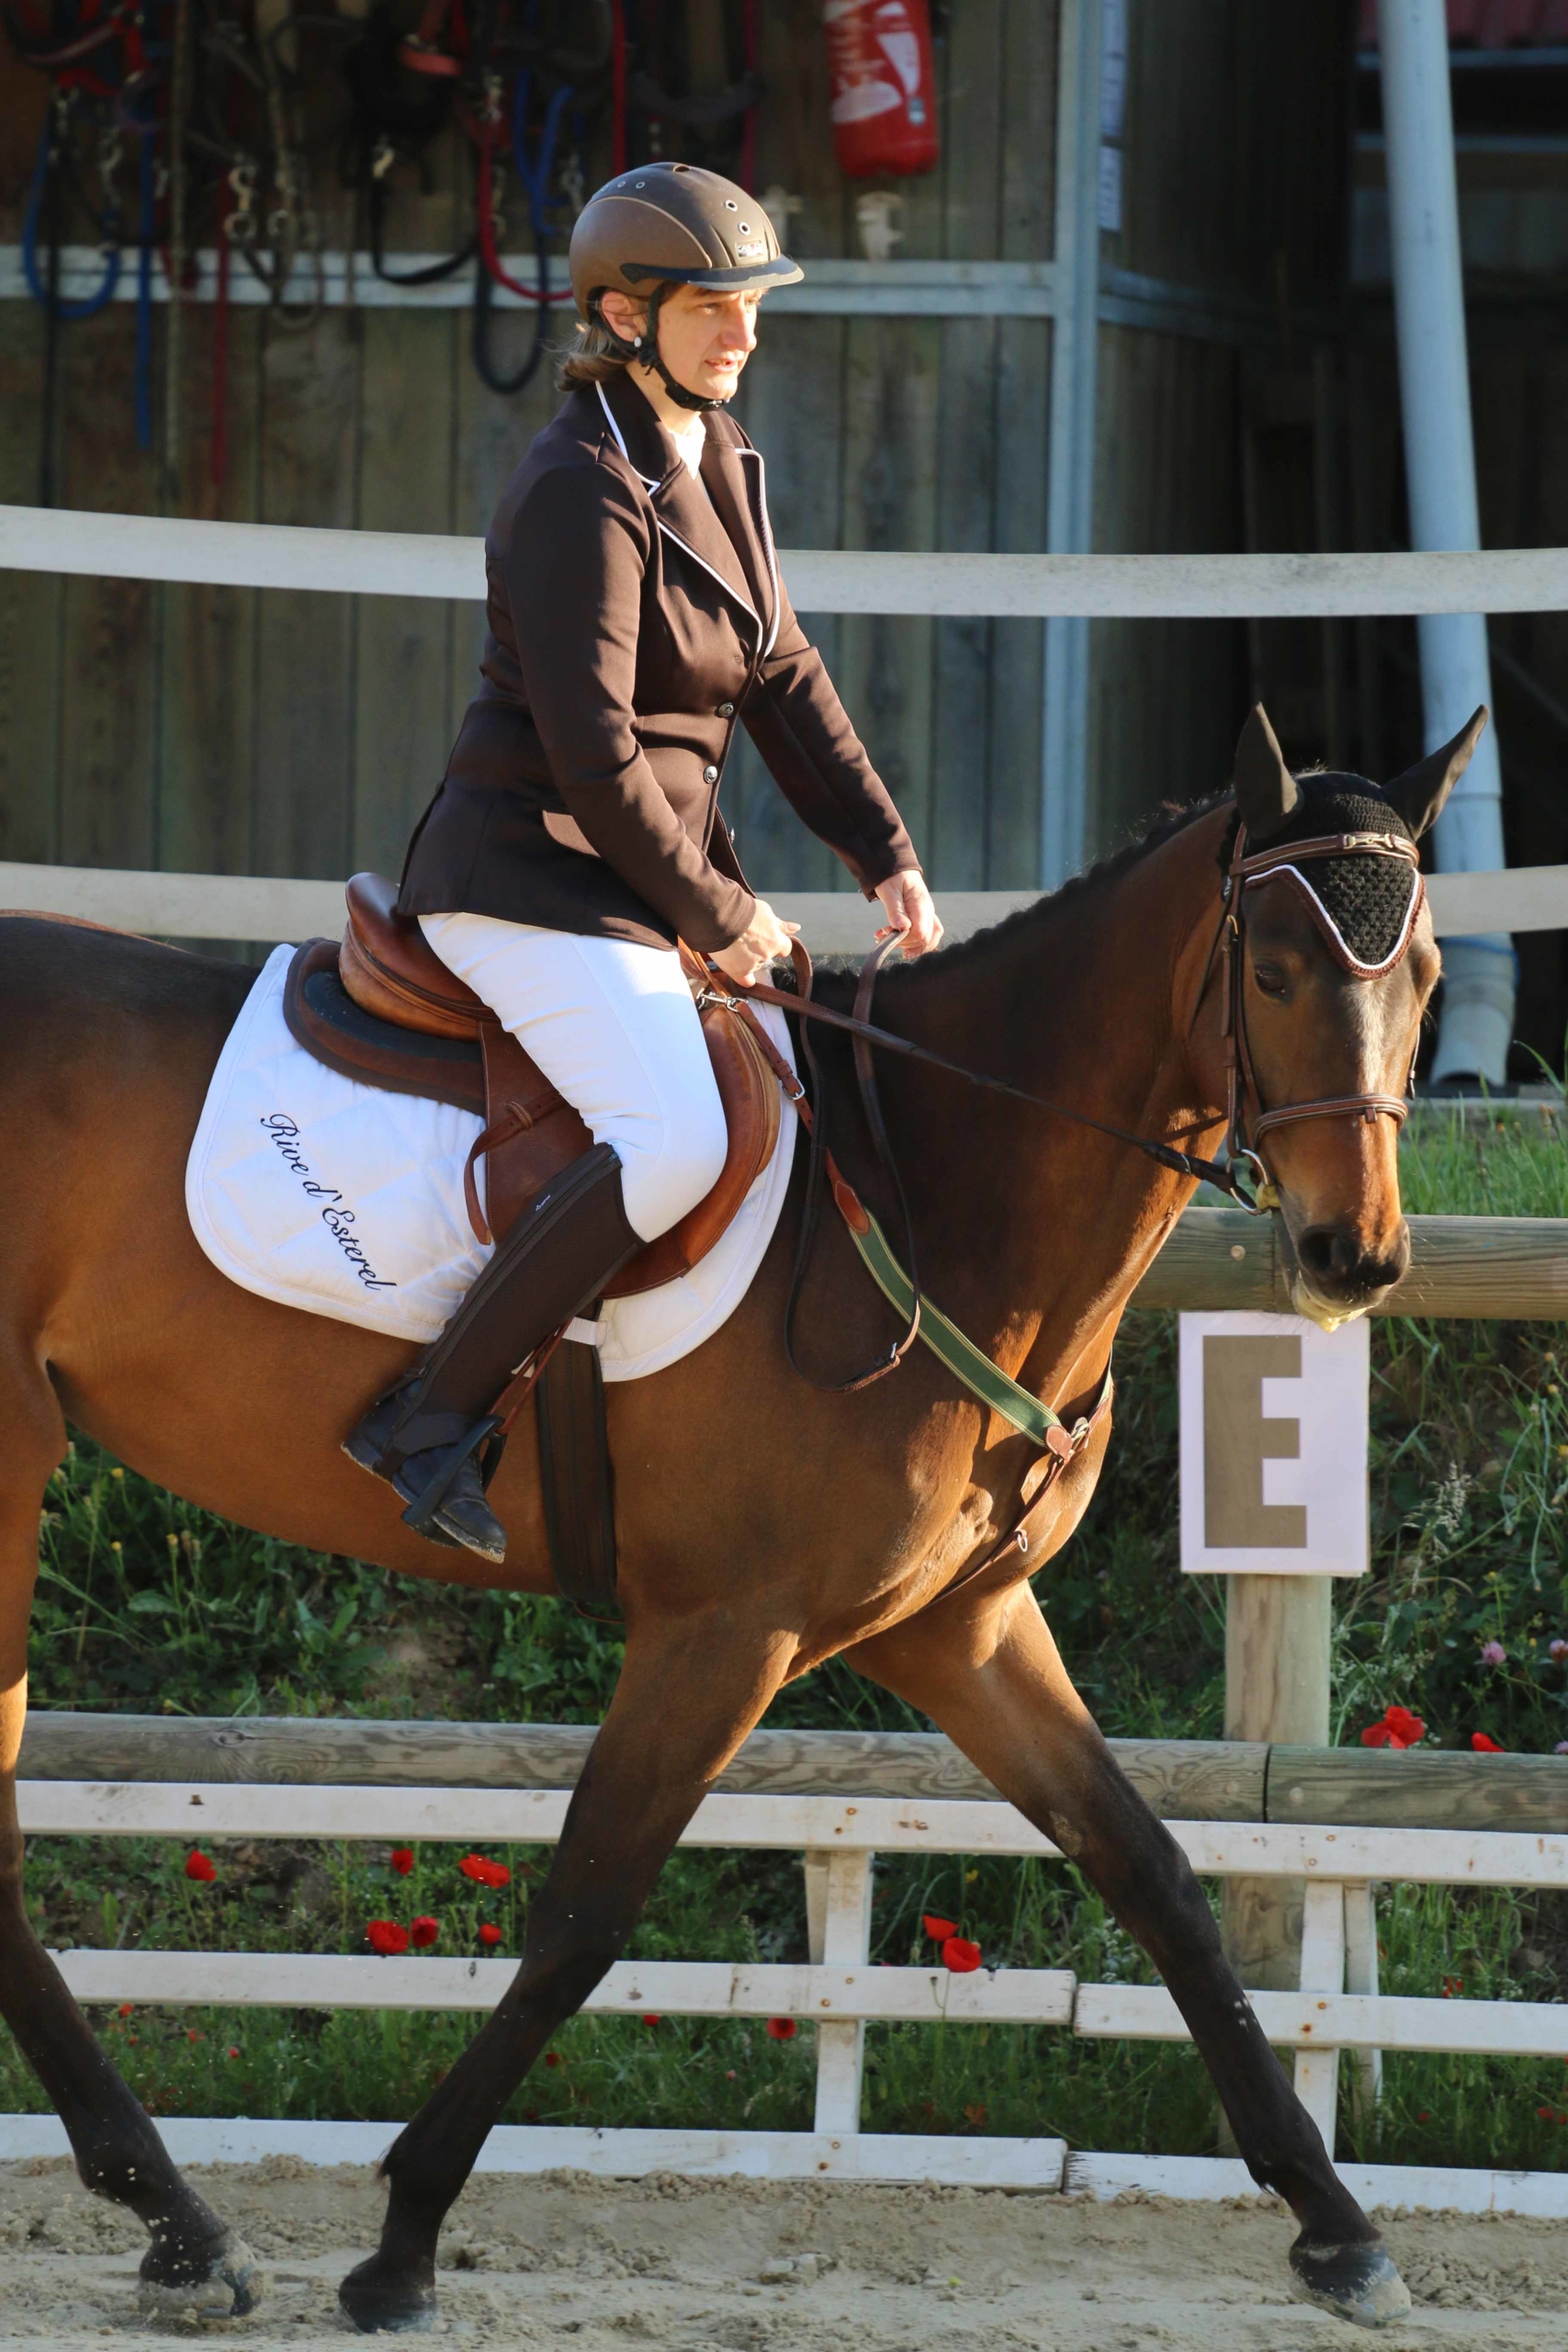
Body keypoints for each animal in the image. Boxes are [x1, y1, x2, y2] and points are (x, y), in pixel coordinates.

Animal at [0, 710, 1485, 2333]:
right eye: (1270, 970)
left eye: (1422, 975)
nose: (1353, 1258)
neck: (934, 1183)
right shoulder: (724, 1630)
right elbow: (586, 1911)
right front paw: (402, 2238)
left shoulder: (961, 1626)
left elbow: (1155, 1877)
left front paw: (1334, 2225)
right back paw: (180, 2221)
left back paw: (177, 2225)